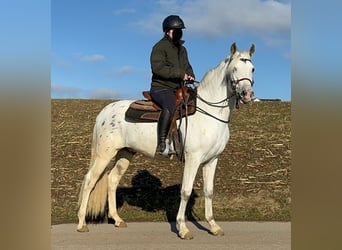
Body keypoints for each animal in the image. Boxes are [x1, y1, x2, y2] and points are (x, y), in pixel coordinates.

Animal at [77, 42, 254, 239]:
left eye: (252, 69)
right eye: (234, 68)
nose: (247, 94)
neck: (209, 112)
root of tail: (104, 112)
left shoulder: (212, 160)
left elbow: (209, 192)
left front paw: (213, 226)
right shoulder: (193, 159)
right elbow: (185, 192)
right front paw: (183, 228)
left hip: (125, 153)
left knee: (112, 180)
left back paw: (117, 220)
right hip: (104, 154)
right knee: (89, 180)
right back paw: (82, 223)